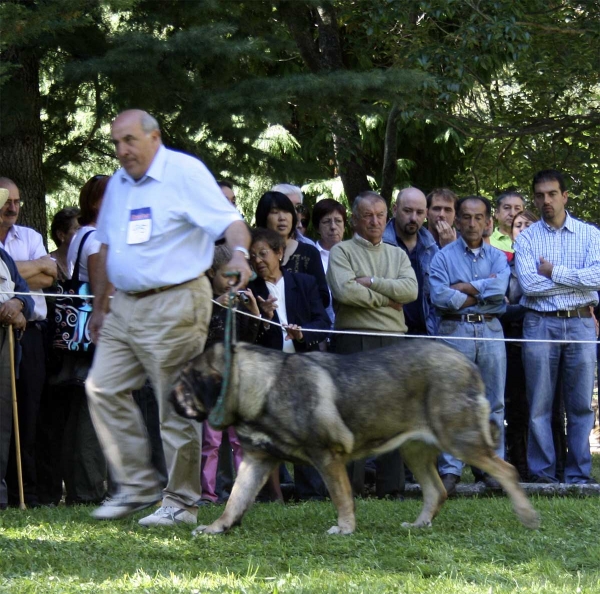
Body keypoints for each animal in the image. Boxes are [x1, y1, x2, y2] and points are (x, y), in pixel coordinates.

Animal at [172, 340, 540, 536]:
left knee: (507, 471)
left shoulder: (326, 456)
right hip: (414, 449)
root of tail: (467, 363)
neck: (261, 385)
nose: (168, 397)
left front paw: (345, 528)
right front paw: (217, 527)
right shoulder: (257, 460)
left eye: (185, 384)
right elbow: (236, 498)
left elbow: (341, 497)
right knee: (436, 491)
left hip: (459, 440)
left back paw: (527, 516)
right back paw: (419, 524)